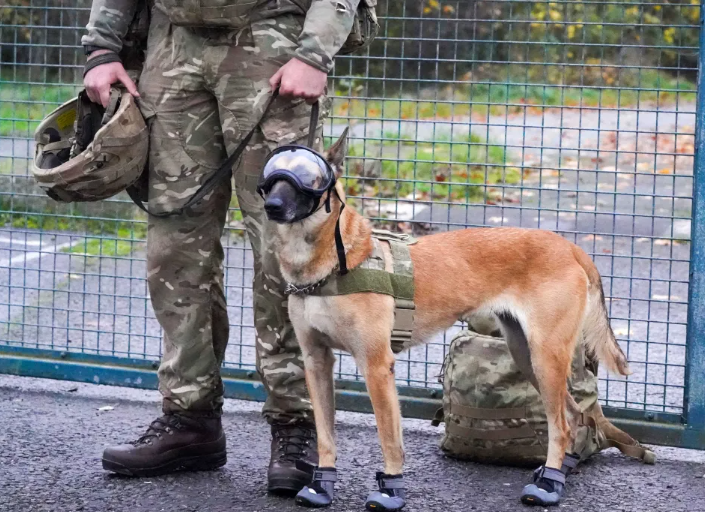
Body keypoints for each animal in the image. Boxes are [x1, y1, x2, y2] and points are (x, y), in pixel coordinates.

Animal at [260, 130, 632, 510]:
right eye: (271, 176)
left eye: (309, 178)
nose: (271, 206)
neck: (336, 261)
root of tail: (570, 247)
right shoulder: (316, 361)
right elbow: (325, 435)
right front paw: (322, 485)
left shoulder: (376, 366)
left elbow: (389, 438)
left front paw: (390, 489)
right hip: (528, 356)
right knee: (572, 415)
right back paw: (556, 473)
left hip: (546, 358)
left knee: (563, 424)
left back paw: (549, 485)